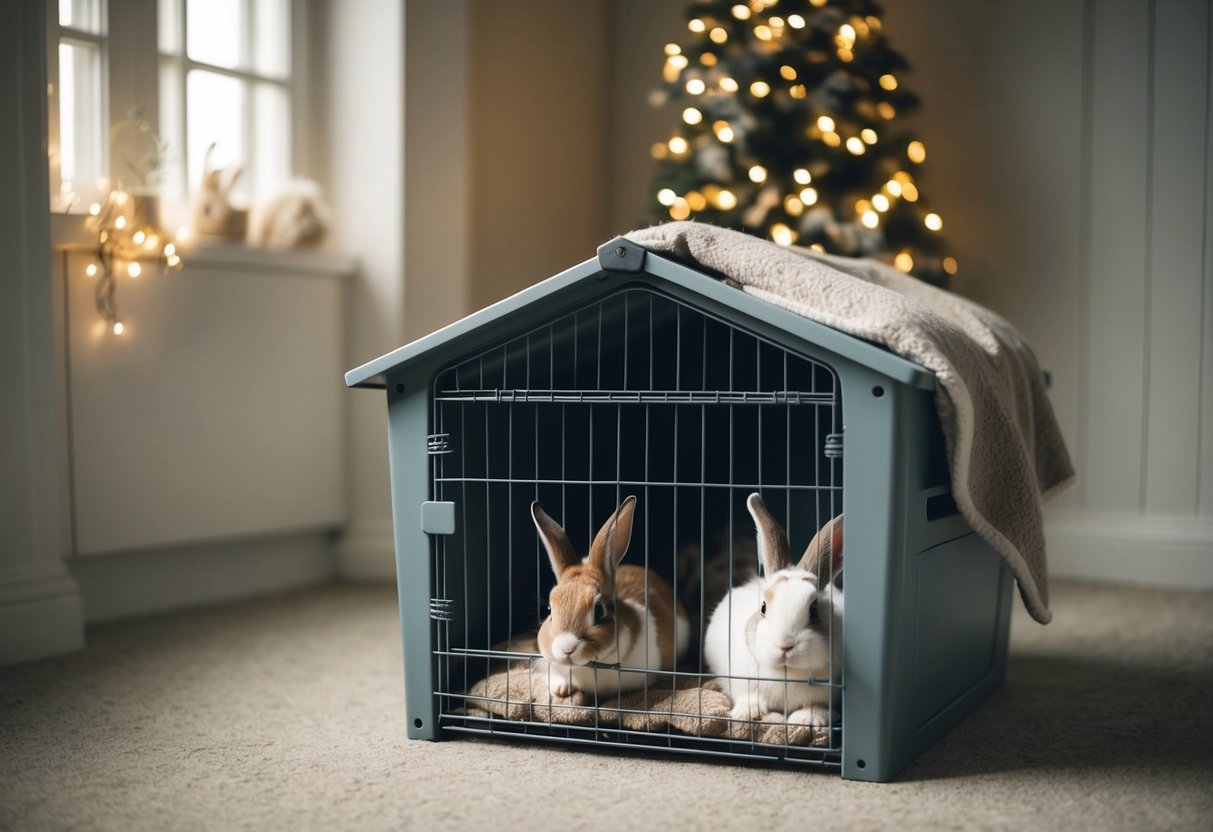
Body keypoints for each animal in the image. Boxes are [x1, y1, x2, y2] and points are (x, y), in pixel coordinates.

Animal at [703, 493, 844, 727]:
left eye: (814, 609)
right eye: (763, 607)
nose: (784, 646)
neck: (785, 673)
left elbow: (816, 705)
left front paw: (810, 719)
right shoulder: (744, 684)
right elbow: (749, 697)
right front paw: (748, 712)